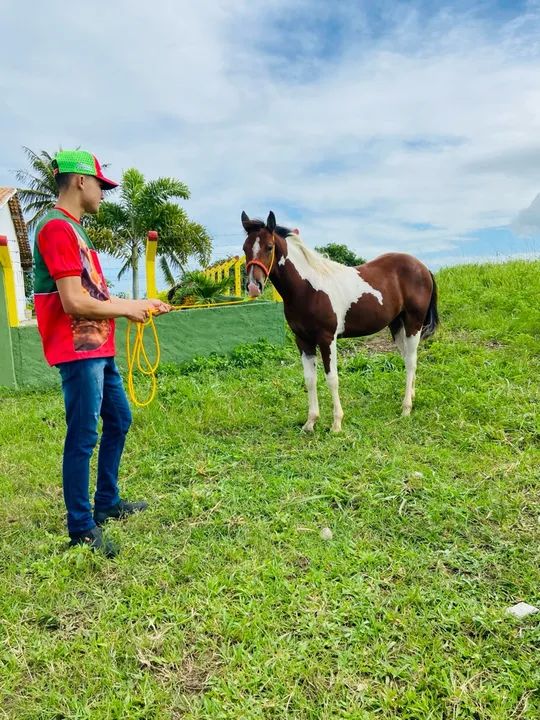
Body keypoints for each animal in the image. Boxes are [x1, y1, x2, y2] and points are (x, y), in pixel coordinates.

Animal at [241, 211, 439, 432]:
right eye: (245, 248)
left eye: (269, 246)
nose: (254, 287)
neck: (307, 289)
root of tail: (423, 268)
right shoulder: (302, 340)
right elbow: (310, 380)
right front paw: (310, 422)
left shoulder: (327, 339)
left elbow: (332, 378)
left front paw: (336, 423)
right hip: (397, 325)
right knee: (407, 359)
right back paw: (411, 396)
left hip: (414, 323)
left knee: (411, 361)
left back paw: (406, 408)